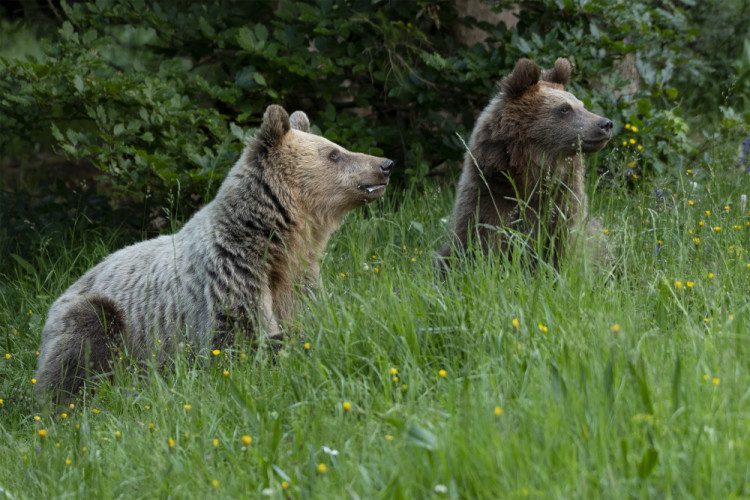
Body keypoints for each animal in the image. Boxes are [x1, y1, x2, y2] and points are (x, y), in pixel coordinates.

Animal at [35, 105, 396, 402]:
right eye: (334, 153)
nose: (385, 164)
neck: (277, 243)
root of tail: (71, 283)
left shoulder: (298, 278)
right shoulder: (230, 276)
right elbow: (238, 342)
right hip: (105, 316)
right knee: (81, 348)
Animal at [444, 58, 612, 268]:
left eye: (581, 105)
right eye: (564, 108)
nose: (605, 124)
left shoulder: (562, 200)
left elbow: (561, 244)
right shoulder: (491, 195)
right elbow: (476, 240)